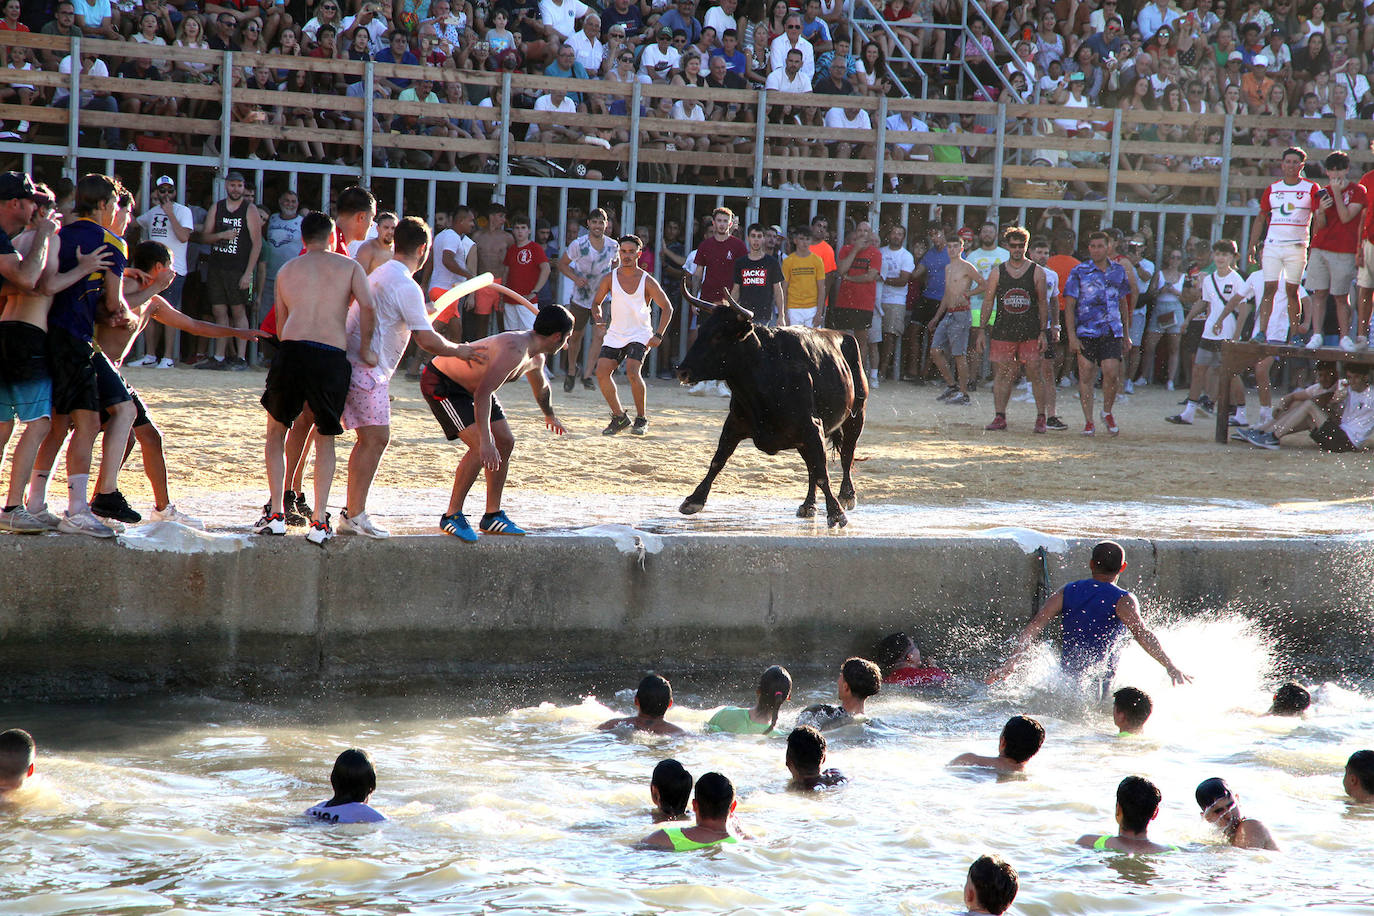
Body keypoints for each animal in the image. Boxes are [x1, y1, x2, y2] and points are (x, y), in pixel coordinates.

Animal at [670, 287, 862, 530]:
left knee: (846, 455)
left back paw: (846, 495)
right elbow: (717, 461)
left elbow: (822, 473)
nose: (682, 371)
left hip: (855, 417)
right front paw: (694, 500)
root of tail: (843, 335)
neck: (767, 374)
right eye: (701, 331)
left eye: (718, 336)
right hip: (804, 439)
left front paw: (836, 513)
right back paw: (808, 504)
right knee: (811, 466)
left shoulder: (812, 427)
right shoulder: (734, 423)